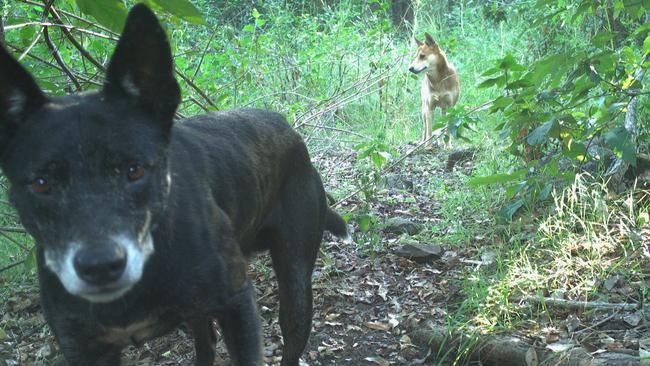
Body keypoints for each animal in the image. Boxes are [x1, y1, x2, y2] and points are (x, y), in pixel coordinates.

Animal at [0, 3, 346, 366]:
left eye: (134, 170)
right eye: (41, 184)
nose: (100, 266)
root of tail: (289, 129)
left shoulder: (237, 305)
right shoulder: (84, 347)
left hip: (295, 284)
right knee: (206, 342)